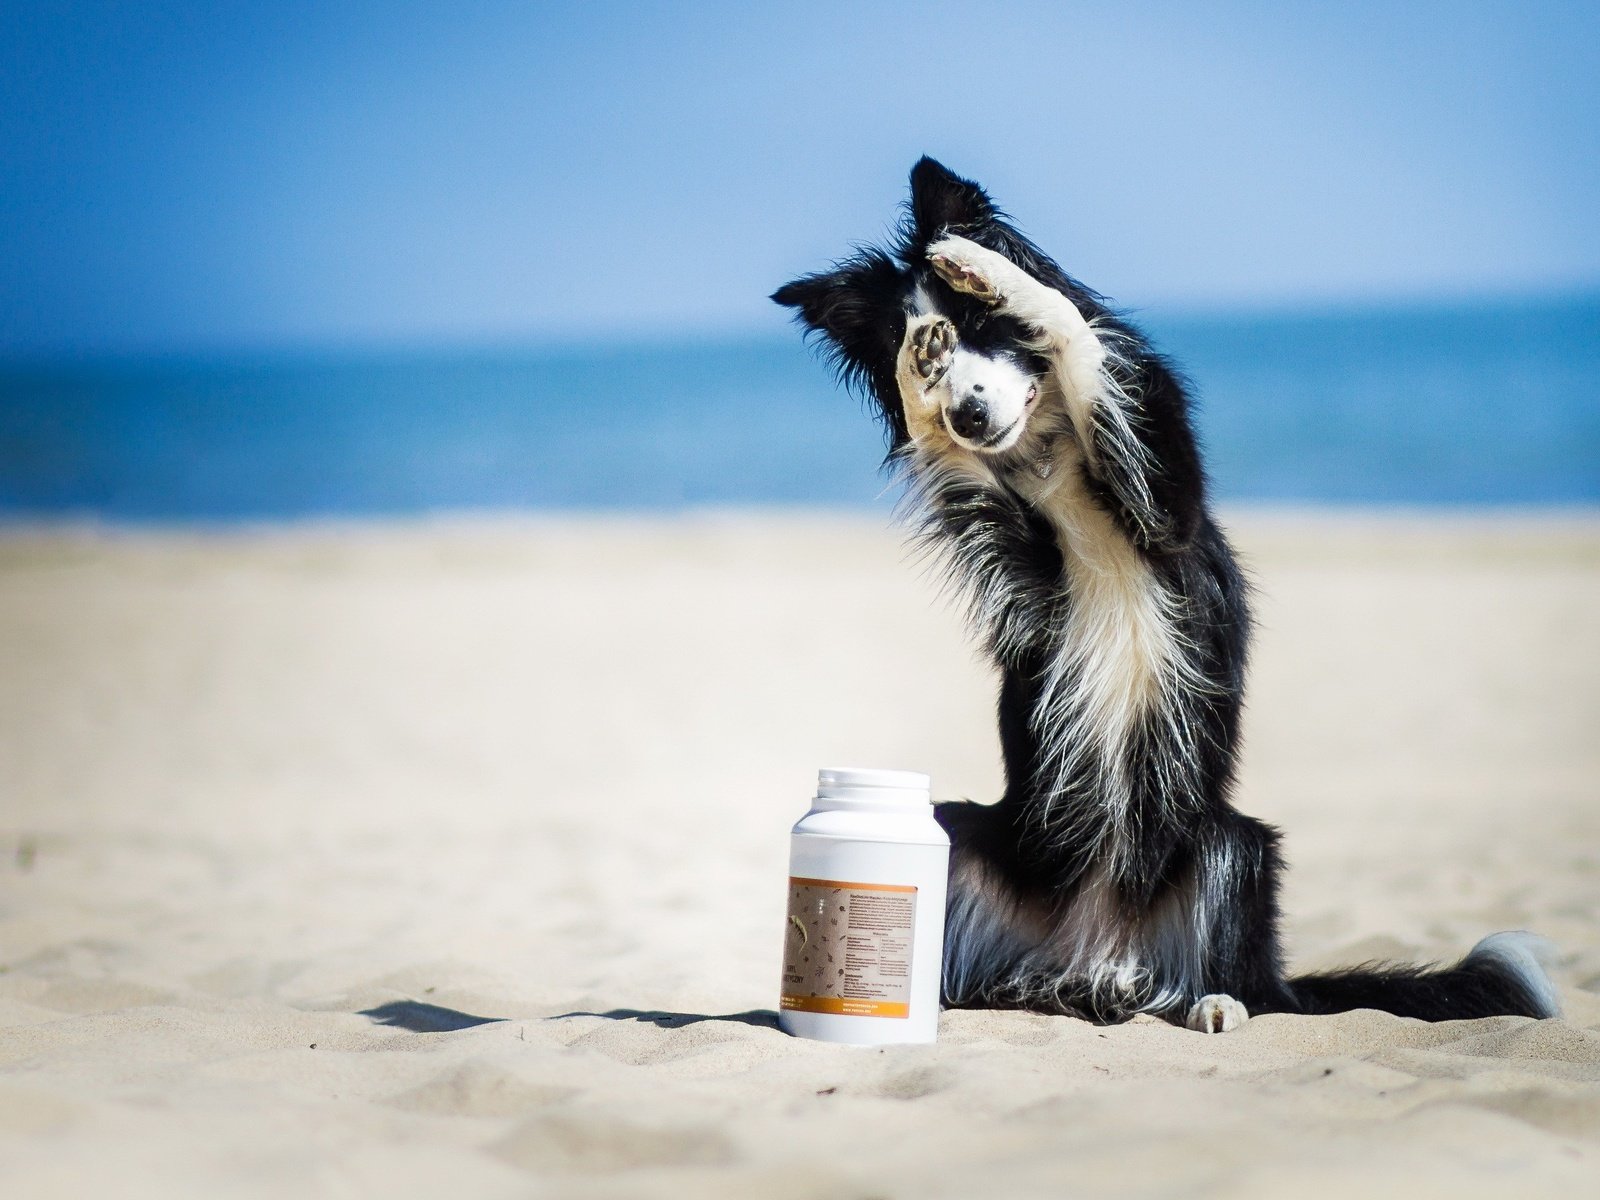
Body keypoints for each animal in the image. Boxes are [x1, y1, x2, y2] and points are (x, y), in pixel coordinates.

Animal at [768, 155, 1555, 1036]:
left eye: (980, 325)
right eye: (919, 345)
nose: (968, 412)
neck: (1051, 451)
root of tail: (1094, 960)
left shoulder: (1164, 503)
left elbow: (1076, 332)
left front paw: (989, 269)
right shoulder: (1025, 577)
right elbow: (940, 444)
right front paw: (921, 376)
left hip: (1232, 843)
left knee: (1240, 980)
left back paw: (1217, 1002)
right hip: (969, 834)